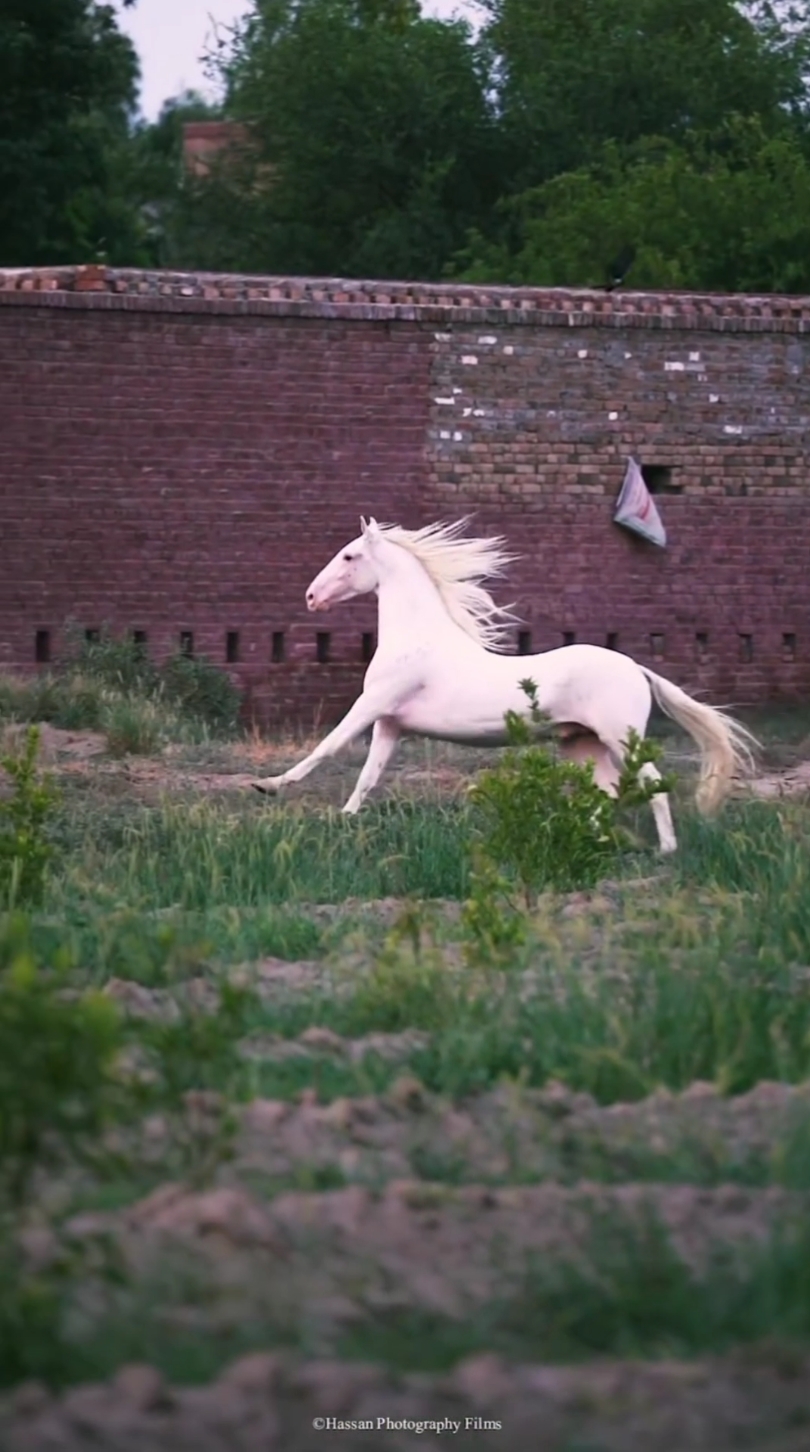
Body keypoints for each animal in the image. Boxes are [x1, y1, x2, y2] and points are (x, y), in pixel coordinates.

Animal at [251, 516, 760, 847]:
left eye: (350, 555)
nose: (311, 597)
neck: (415, 638)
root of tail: (637, 668)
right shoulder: (389, 724)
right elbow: (368, 776)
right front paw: (345, 818)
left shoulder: (372, 705)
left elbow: (329, 746)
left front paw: (269, 785)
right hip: (582, 742)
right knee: (606, 790)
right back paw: (593, 839)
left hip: (621, 736)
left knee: (651, 783)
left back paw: (667, 850)